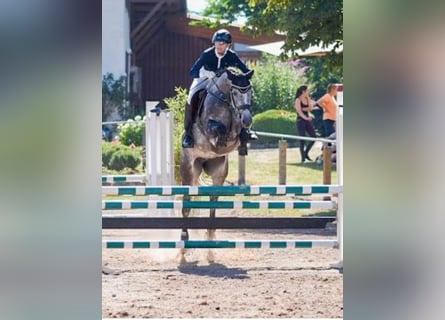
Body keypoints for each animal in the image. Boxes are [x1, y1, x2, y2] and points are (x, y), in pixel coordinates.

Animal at [178, 67, 253, 262]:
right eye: (235, 92)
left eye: (250, 91)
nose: (247, 119)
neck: (226, 101)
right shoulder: (209, 131)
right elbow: (218, 129)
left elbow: (237, 134)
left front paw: (246, 136)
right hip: (189, 170)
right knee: (186, 205)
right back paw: (183, 248)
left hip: (219, 171)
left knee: (213, 204)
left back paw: (210, 245)